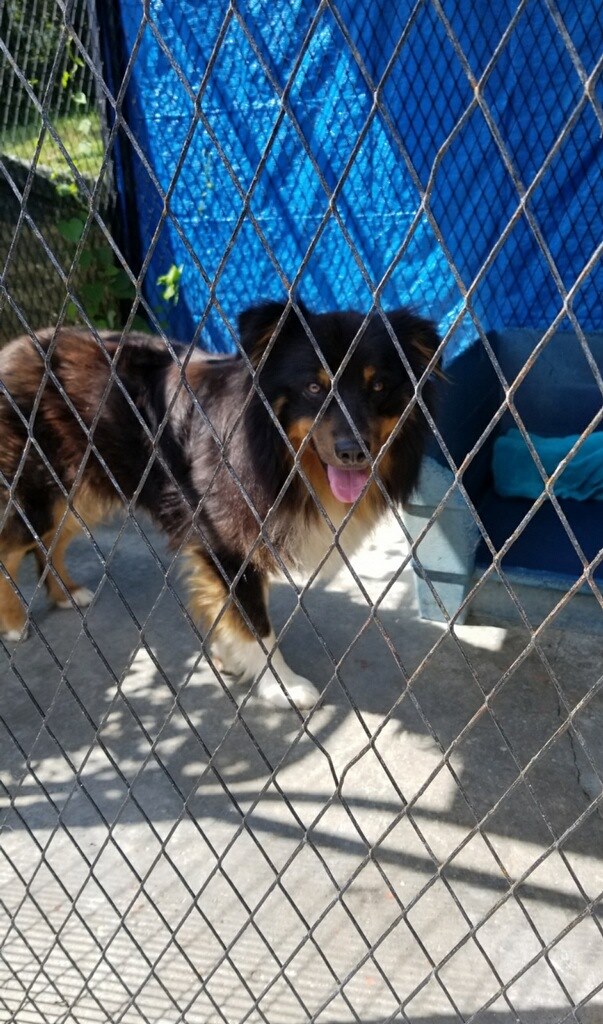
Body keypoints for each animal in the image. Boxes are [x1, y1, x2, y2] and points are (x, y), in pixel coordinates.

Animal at [0, 299, 438, 708]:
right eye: (314, 388)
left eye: (378, 386)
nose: (353, 453)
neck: (275, 453)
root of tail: (14, 347)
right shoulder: (226, 540)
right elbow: (256, 623)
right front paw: (282, 685)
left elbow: (238, 610)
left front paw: (228, 654)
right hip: (41, 489)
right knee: (11, 548)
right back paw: (14, 623)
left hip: (81, 490)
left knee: (49, 541)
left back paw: (67, 594)